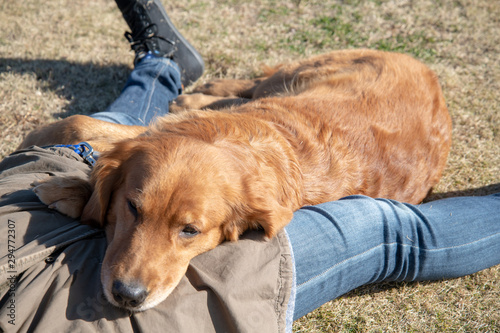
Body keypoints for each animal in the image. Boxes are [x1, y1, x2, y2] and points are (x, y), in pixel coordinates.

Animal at [19, 50, 454, 312]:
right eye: (132, 208)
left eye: (190, 231)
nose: (128, 296)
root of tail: (430, 73)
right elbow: (81, 127)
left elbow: (84, 133)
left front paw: (65, 185)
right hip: (296, 76)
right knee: (253, 83)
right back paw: (206, 91)